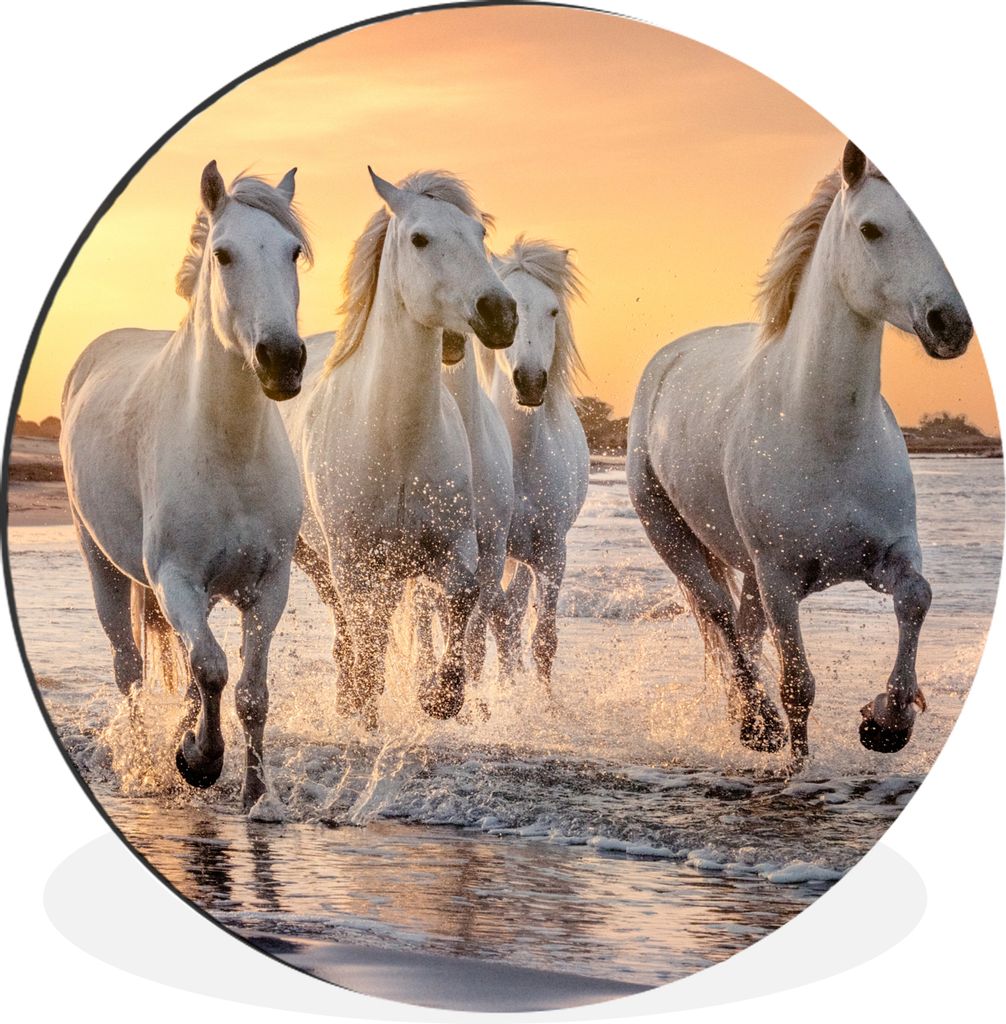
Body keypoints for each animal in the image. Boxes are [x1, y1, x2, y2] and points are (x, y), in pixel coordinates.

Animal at [60, 162, 311, 811]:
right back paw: (148, 763)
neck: (229, 450)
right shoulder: (174, 578)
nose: (282, 359)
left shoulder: (269, 585)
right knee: (129, 669)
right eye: (223, 254)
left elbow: (248, 690)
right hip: (102, 563)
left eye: (293, 252)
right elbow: (214, 669)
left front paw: (254, 795)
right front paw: (199, 761)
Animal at [282, 169, 517, 729]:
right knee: (350, 627)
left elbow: (462, 599)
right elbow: (366, 637)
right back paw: (350, 699)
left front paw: (439, 697)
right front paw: (365, 708)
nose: (500, 313)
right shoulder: (353, 561)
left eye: (479, 235)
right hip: (316, 557)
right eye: (419, 239)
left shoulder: (455, 547)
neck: (396, 441)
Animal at [626, 140, 973, 766]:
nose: (950, 325)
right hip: (674, 536)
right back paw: (755, 724)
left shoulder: (888, 553)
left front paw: (887, 722)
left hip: (749, 570)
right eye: (870, 229)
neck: (825, 433)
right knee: (720, 617)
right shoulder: (781, 577)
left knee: (742, 628)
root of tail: (666, 362)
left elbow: (917, 597)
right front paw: (797, 764)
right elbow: (798, 686)